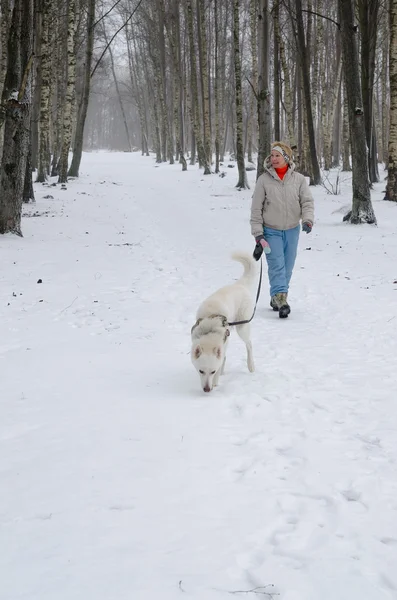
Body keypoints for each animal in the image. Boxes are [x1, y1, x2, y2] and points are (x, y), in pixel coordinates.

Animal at [189, 251, 256, 392]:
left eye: (212, 371)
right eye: (201, 371)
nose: (207, 389)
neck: (209, 330)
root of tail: (239, 285)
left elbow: (221, 363)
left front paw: (216, 382)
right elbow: (223, 358)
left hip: (242, 327)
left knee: (249, 344)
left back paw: (251, 365)